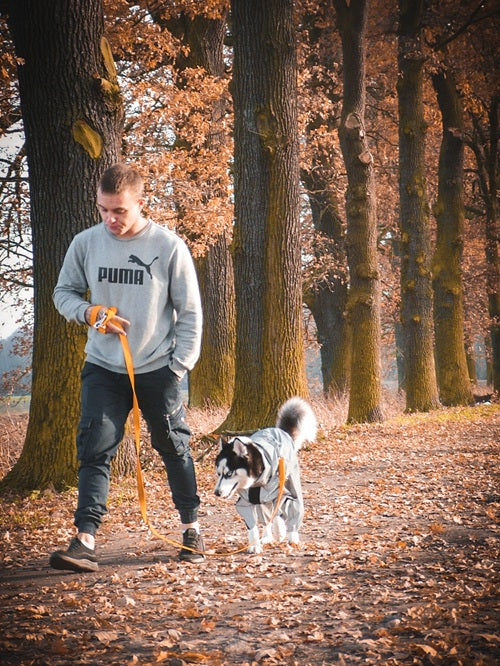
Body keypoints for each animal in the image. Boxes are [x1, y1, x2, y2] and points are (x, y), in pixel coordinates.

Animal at [214, 397, 317, 553]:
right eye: (219, 473)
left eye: (229, 473)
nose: (216, 493)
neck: (256, 481)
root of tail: (280, 430)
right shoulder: (247, 501)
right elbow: (253, 525)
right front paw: (255, 545)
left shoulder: (280, 493)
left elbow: (277, 514)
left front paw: (280, 532)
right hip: (261, 500)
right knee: (265, 517)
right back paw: (268, 536)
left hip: (290, 484)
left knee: (292, 508)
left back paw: (292, 537)